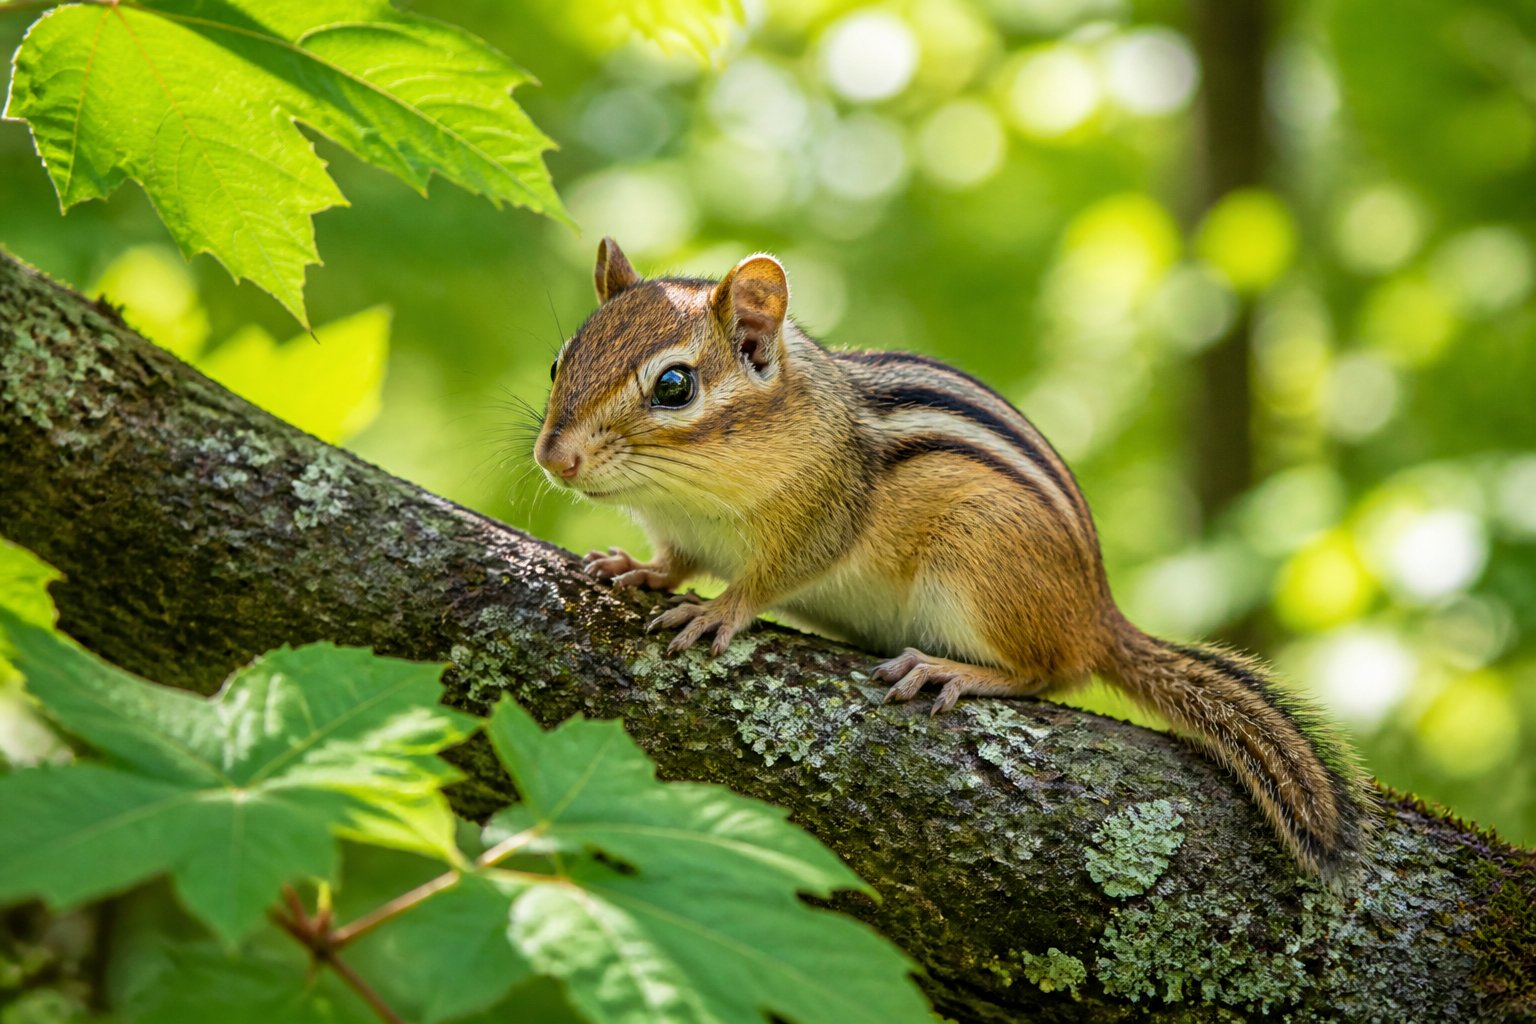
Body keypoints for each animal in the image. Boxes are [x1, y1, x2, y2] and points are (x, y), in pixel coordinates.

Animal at [534, 237, 1374, 883]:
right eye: (558, 361)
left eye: (675, 385)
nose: (555, 458)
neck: (691, 494)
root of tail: (1099, 612)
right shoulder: (681, 531)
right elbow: (673, 559)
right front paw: (635, 570)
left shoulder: (825, 513)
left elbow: (770, 577)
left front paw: (718, 611)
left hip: (976, 565)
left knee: (1049, 669)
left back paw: (953, 671)